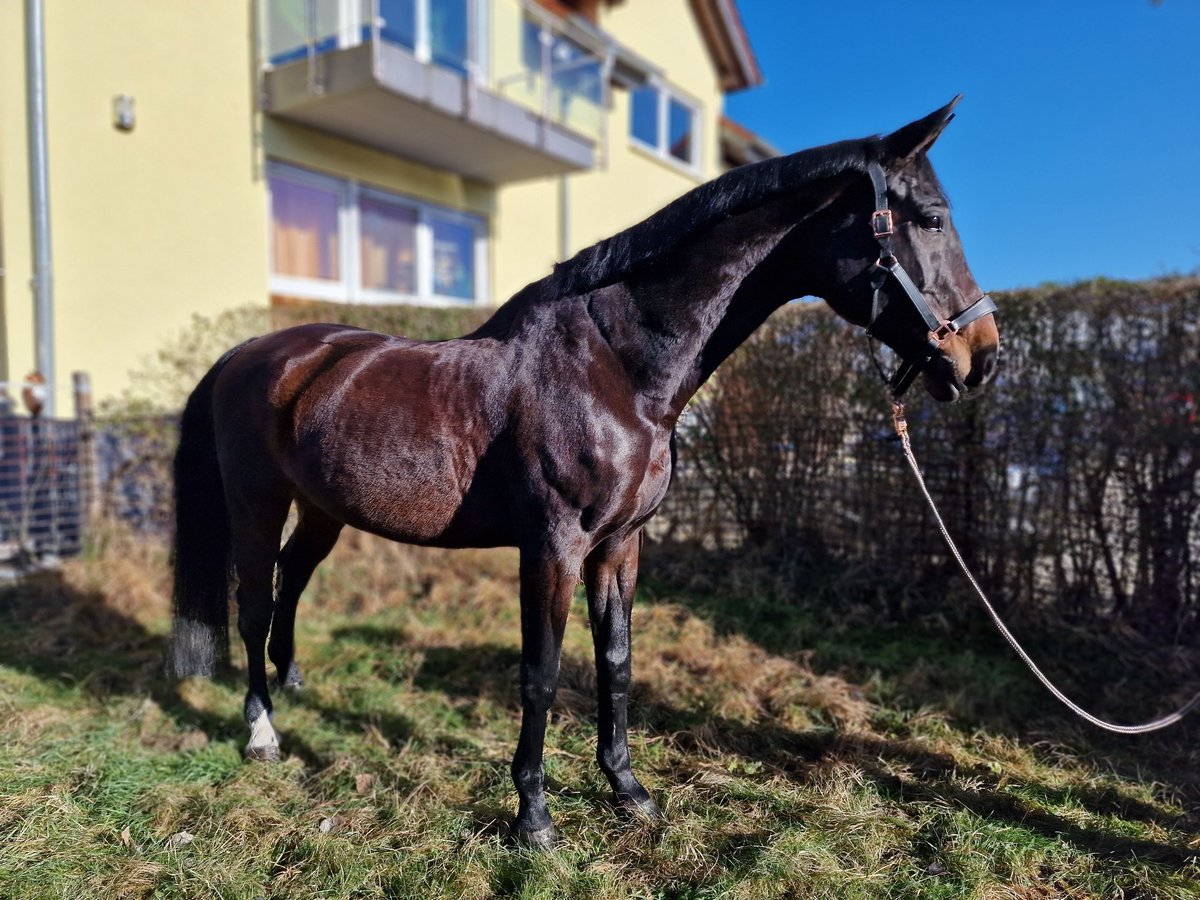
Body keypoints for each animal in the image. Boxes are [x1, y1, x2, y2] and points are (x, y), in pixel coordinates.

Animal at [169, 102, 993, 849]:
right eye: (931, 220)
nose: (981, 356)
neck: (617, 372)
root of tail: (250, 352)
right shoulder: (553, 548)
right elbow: (541, 671)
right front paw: (534, 818)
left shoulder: (620, 546)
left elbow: (616, 663)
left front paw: (628, 791)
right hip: (257, 502)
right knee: (253, 602)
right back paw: (263, 733)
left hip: (323, 510)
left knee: (291, 583)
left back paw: (293, 684)